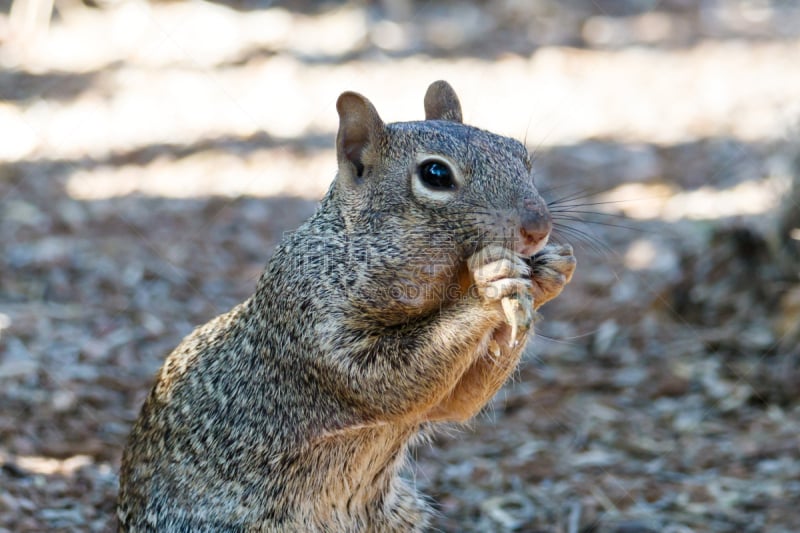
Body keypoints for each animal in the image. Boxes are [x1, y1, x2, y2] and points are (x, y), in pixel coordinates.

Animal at [117, 80, 576, 532]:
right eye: (435, 174)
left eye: (521, 155)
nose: (539, 228)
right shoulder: (311, 318)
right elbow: (386, 381)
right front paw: (491, 286)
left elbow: (457, 402)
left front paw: (550, 272)